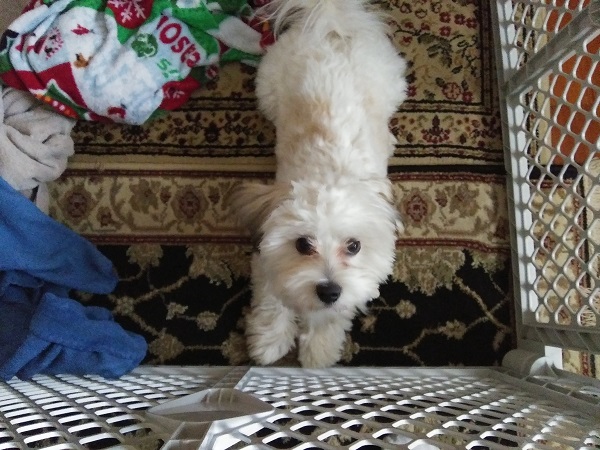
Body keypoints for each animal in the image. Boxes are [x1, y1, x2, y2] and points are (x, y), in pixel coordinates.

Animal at [232, 0, 406, 368]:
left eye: (354, 246)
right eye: (302, 244)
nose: (328, 290)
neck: (329, 173)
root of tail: (331, 29)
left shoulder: (357, 281)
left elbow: (333, 313)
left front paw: (320, 350)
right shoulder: (269, 260)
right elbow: (272, 298)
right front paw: (269, 341)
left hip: (391, 87)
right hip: (269, 87)